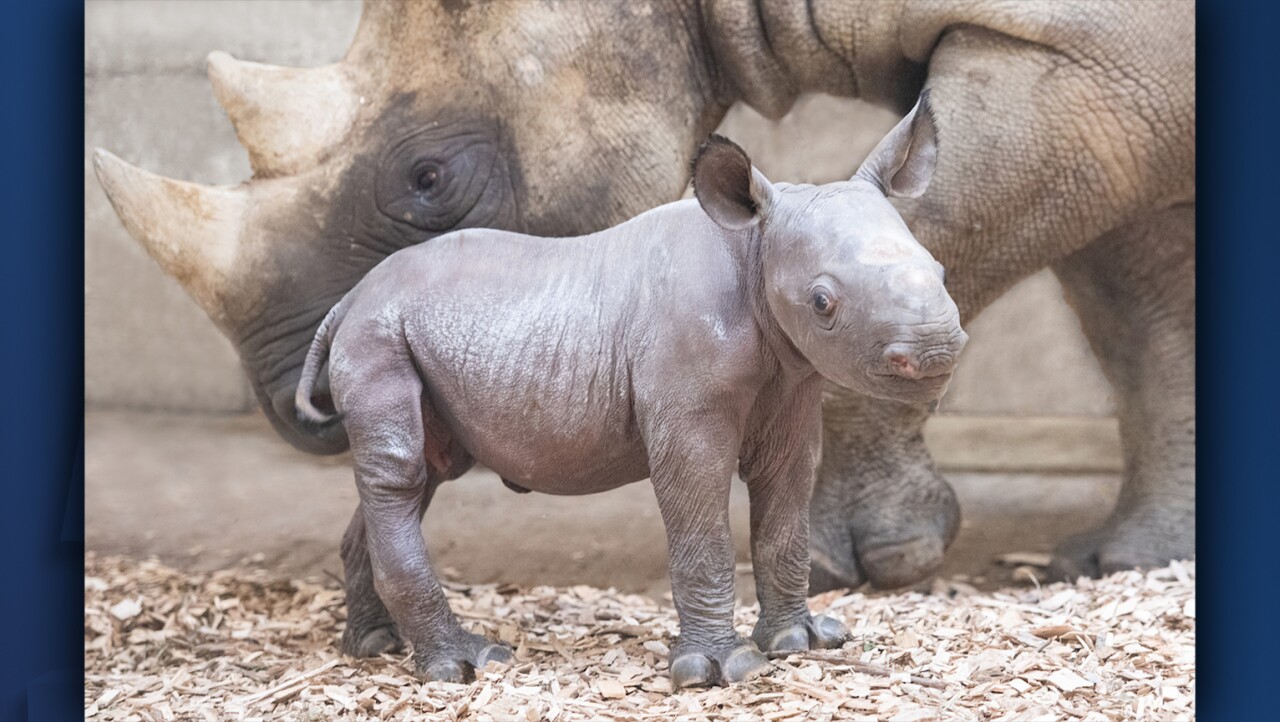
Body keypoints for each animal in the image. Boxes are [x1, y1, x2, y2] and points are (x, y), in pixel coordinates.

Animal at [94, 0, 1195, 648]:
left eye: (428, 178)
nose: (297, 406)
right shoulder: (1120, 84)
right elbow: (1148, 314)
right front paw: (1134, 558)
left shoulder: (1083, 59)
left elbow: (959, 223)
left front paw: (864, 562)